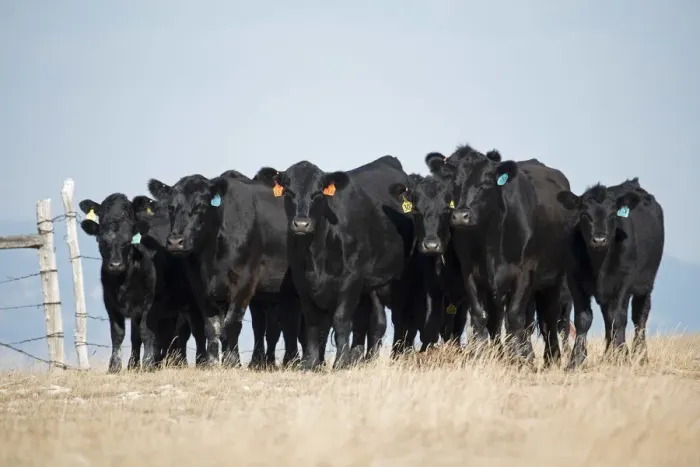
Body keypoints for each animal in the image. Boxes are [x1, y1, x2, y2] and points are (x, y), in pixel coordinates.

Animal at [146, 171, 303, 368]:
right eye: (171, 207)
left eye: (200, 206)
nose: (175, 242)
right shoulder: (199, 285)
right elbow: (211, 326)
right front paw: (212, 362)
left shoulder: (245, 280)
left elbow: (232, 324)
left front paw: (232, 362)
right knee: (289, 322)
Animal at [255, 156, 415, 370]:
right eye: (288, 192)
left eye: (317, 194)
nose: (301, 224)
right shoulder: (302, 282)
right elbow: (313, 323)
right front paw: (311, 363)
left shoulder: (351, 279)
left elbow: (341, 319)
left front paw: (340, 362)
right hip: (371, 287)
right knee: (372, 322)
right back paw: (361, 359)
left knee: (393, 320)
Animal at [426, 145, 573, 367]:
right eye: (454, 183)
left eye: (486, 182)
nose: (460, 216)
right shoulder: (471, 274)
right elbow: (480, 316)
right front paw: (481, 355)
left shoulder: (524, 273)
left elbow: (513, 317)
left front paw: (518, 360)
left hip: (555, 280)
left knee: (550, 318)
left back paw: (551, 358)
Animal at [556, 177, 664, 369]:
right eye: (584, 215)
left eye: (613, 215)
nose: (599, 239)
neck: (599, 263)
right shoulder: (575, 281)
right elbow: (583, 319)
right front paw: (576, 360)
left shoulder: (623, 282)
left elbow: (618, 319)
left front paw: (621, 356)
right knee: (609, 318)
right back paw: (609, 355)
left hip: (645, 283)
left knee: (639, 316)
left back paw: (640, 356)